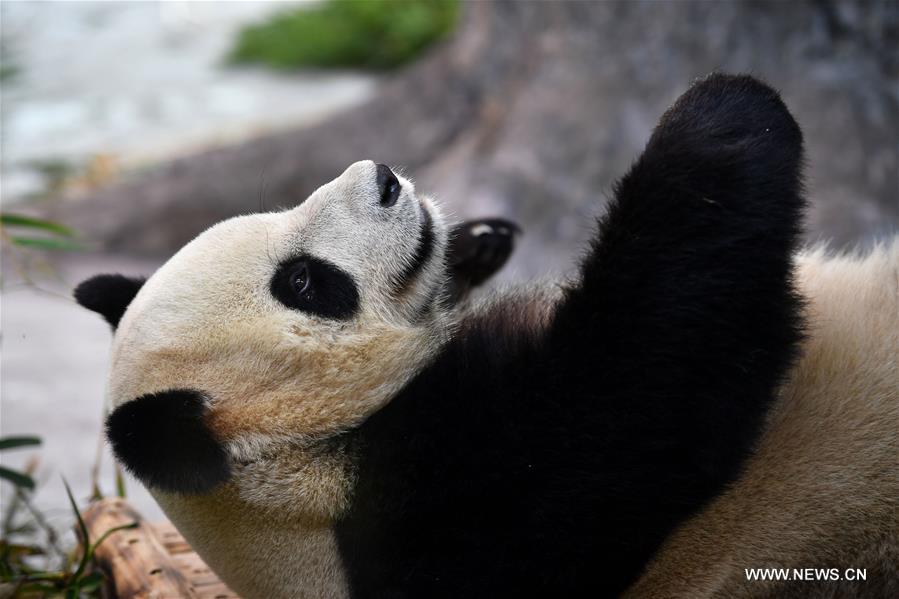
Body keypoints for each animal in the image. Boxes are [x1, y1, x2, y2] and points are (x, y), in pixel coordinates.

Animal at [75, 76, 808, 599]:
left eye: (275, 212)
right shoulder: (438, 510)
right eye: (303, 281)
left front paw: (476, 243)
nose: (384, 179)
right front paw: (720, 120)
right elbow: (638, 396)